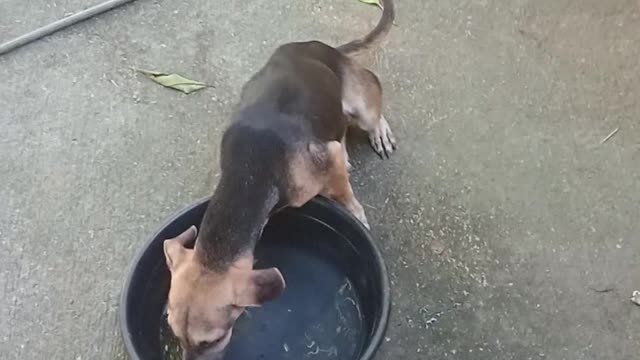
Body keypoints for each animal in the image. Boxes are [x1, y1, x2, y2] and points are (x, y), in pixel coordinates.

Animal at [161, 1, 396, 358]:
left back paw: (378, 130)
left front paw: (357, 215)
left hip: (360, 103)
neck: (248, 174)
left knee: (371, 112)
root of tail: (323, 49)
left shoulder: (327, 157)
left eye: (213, 339)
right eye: (174, 333)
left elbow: (347, 197)